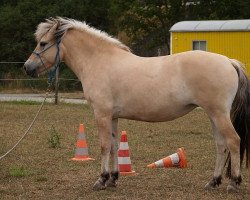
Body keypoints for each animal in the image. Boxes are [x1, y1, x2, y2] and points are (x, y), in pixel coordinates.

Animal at [23, 18, 248, 193]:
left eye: (43, 43)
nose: (27, 67)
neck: (100, 61)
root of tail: (229, 61)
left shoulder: (101, 114)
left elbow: (104, 146)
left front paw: (101, 179)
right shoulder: (112, 117)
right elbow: (114, 146)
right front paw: (113, 178)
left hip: (219, 114)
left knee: (233, 141)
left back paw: (234, 183)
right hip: (213, 115)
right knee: (221, 145)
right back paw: (213, 182)